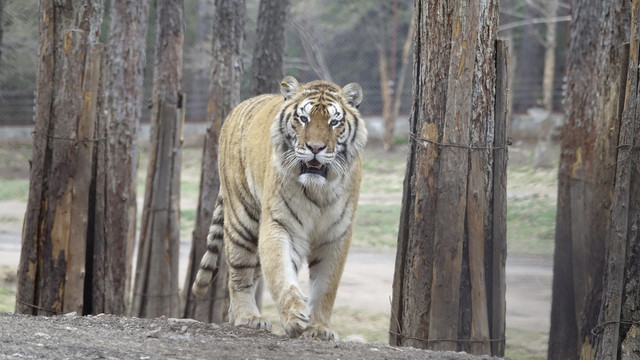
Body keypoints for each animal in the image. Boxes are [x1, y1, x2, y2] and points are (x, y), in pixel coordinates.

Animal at [191, 76, 364, 340]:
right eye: (303, 119)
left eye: (334, 122)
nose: (315, 148)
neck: (319, 190)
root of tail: (235, 110)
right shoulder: (280, 224)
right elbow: (282, 272)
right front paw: (294, 316)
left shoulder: (336, 235)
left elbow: (326, 287)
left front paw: (319, 328)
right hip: (243, 220)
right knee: (239, 275)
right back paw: (248, 317)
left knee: (253, 273)